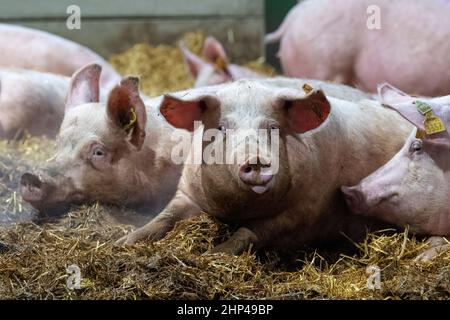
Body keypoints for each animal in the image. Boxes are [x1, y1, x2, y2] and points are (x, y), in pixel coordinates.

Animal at [118, 78, 414, 252]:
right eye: (221, 127)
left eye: (272, 127)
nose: (256, 159)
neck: (237, 208)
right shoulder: (187, 191)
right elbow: (164, 217)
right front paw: (122, 243)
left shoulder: (304, 212)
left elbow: (248, 233)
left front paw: (214, 254)